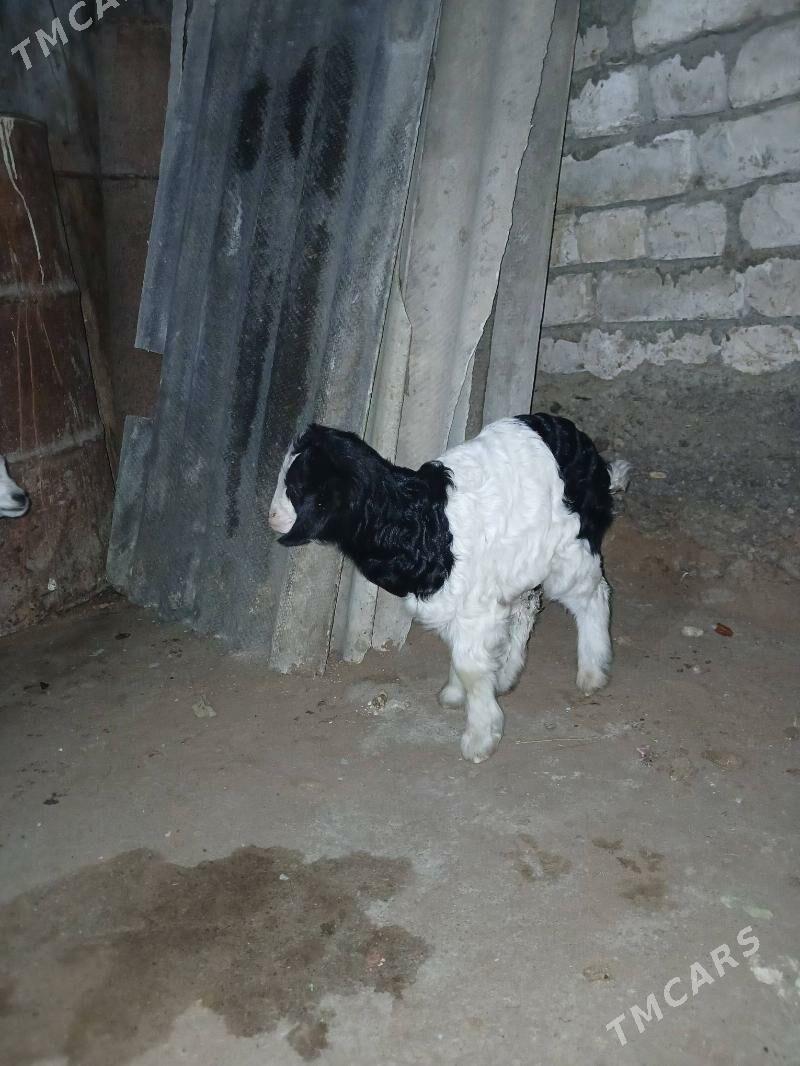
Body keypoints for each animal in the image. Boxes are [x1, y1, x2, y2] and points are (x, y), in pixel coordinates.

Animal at [270, 414, 630, 762]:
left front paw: (480, 738)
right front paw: (459, 694)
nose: (271, 516)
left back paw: (592, 672)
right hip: (523, 562)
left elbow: (470, 664)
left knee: (594, 596)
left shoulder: (476, 606)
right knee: (527, 607)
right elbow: (465, 654)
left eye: (295, 488)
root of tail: (588, 451)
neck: (416, 525)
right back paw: (508, 674)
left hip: (570, 552)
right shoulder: (461, 603)